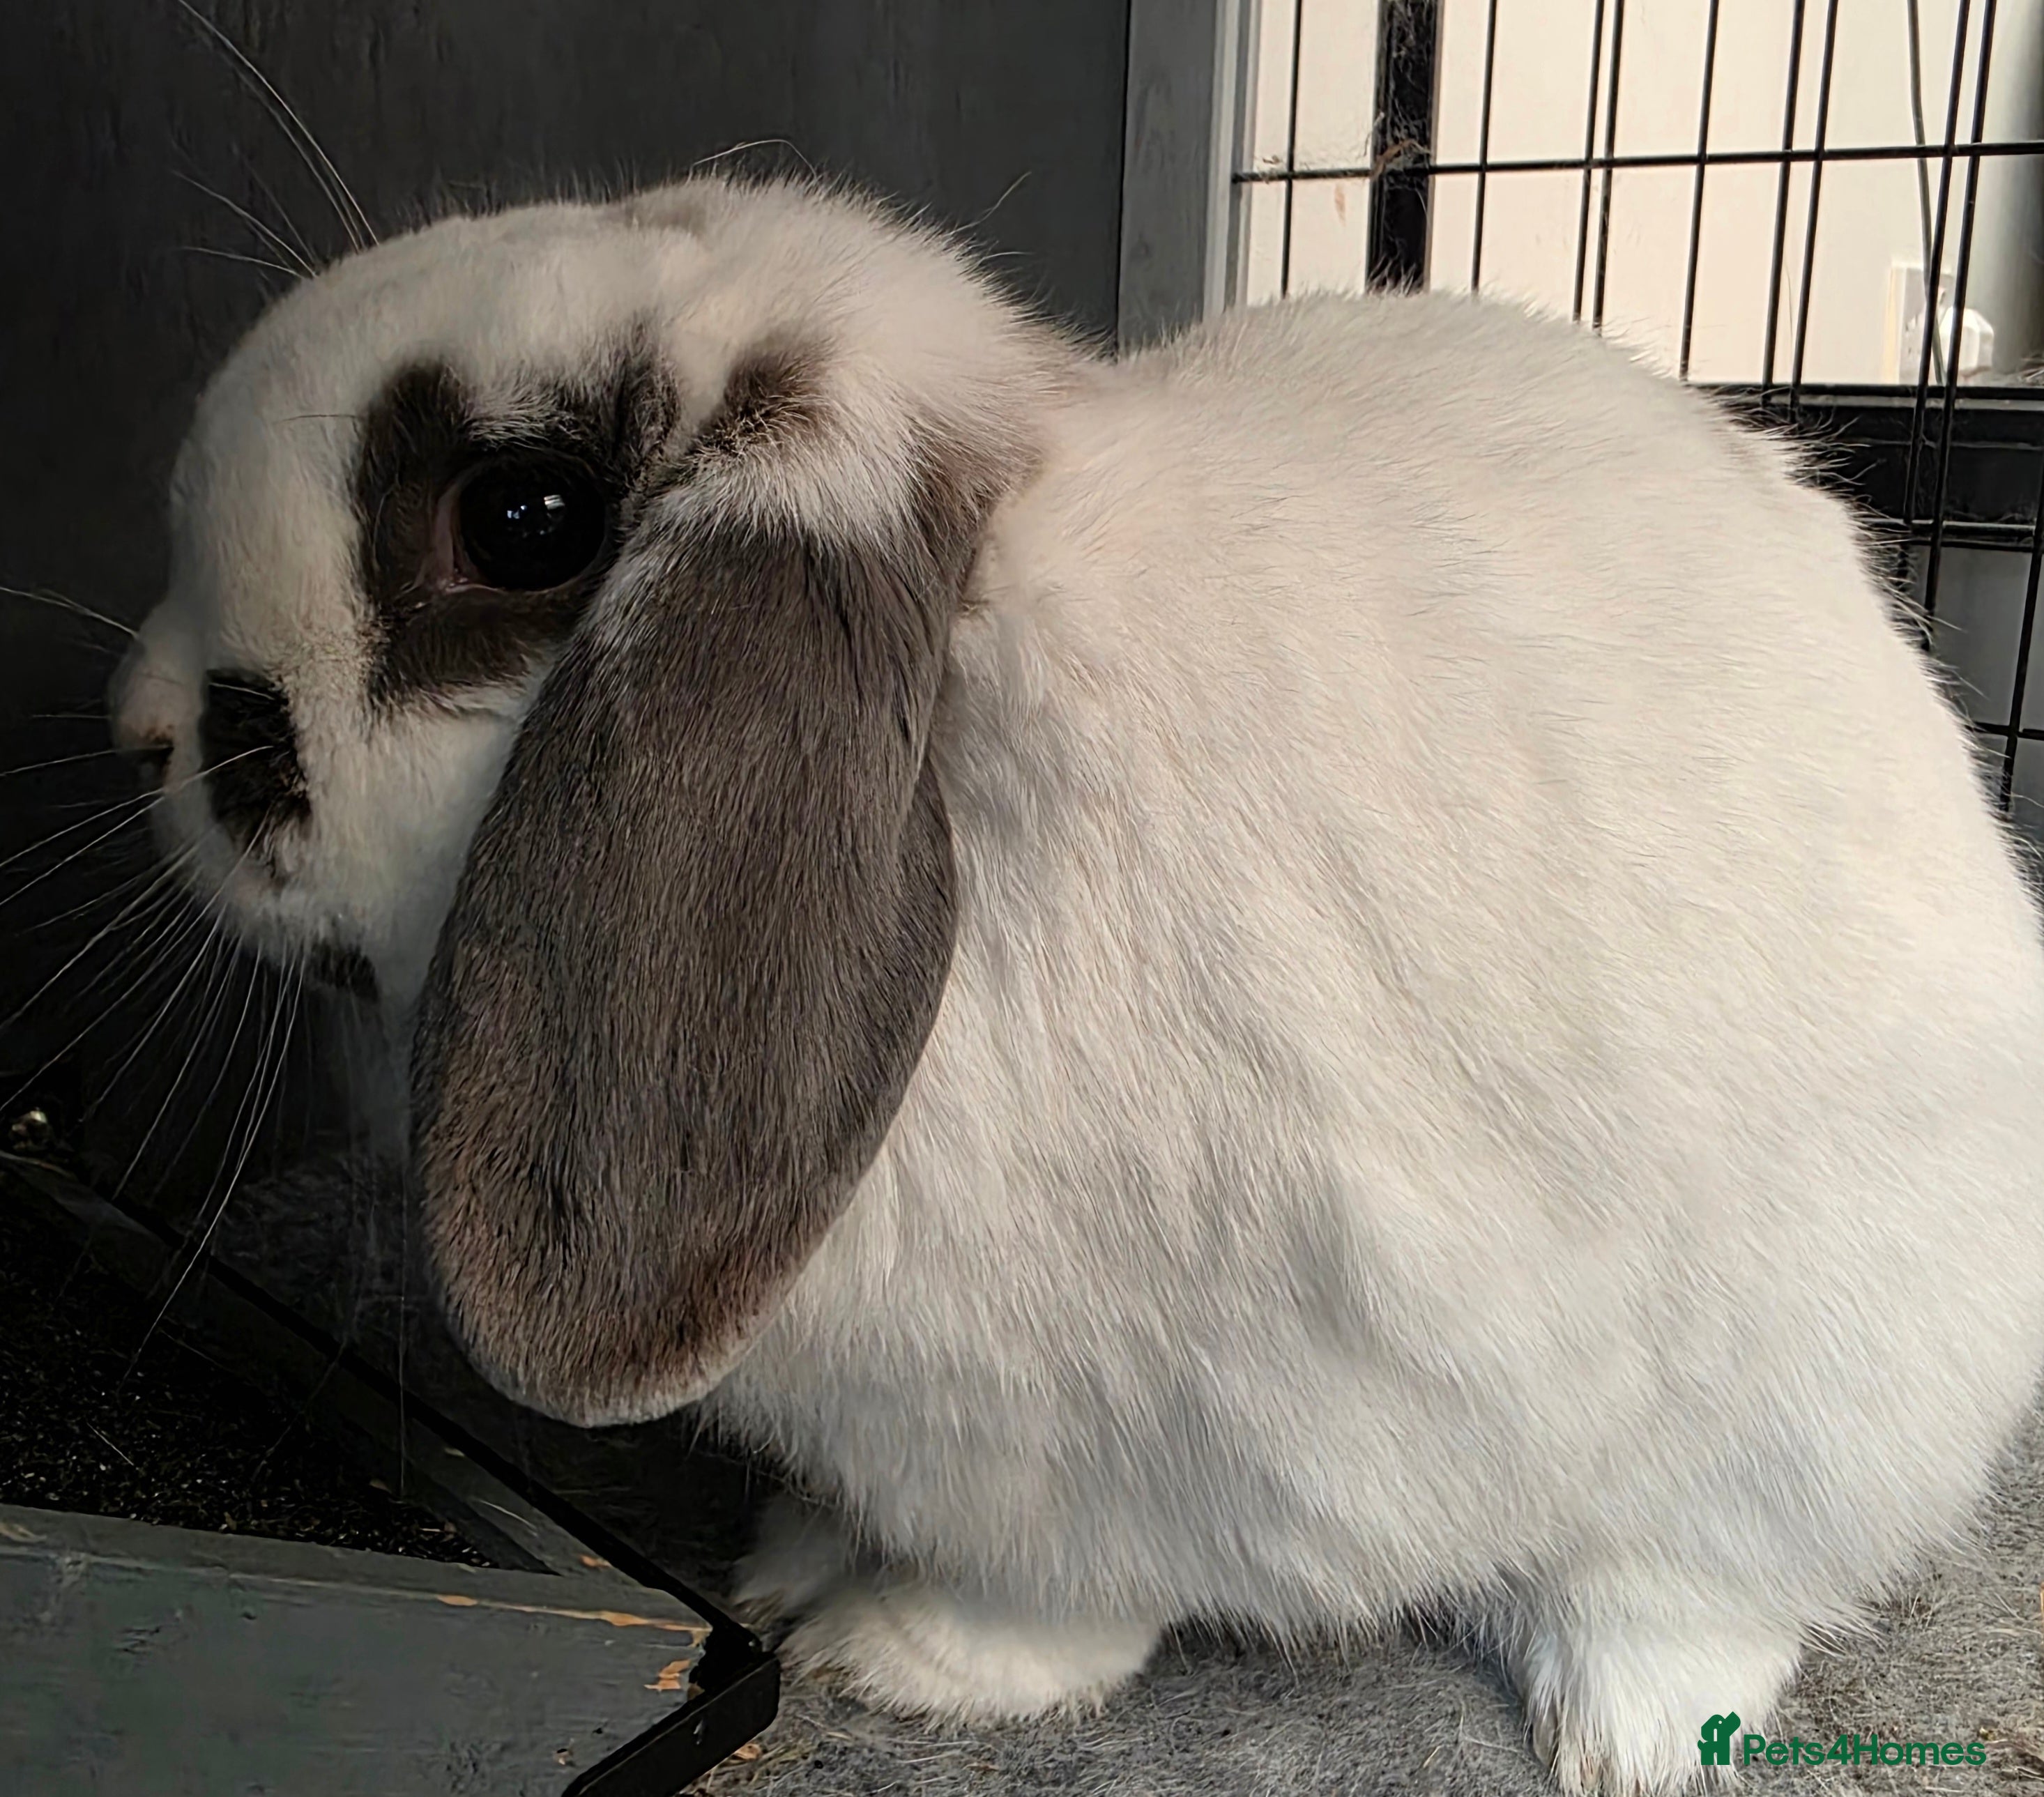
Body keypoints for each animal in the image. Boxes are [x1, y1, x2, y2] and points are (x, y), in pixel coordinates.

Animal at [108, 171, 2044, 1797]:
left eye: (522, 517)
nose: (139, 731)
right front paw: (798, 1569)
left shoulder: (1163, 1436)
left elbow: (1056, 1592)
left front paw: (898, 1658)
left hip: (1815, 1400)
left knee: (1704, 1582)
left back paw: (1626, 1731)